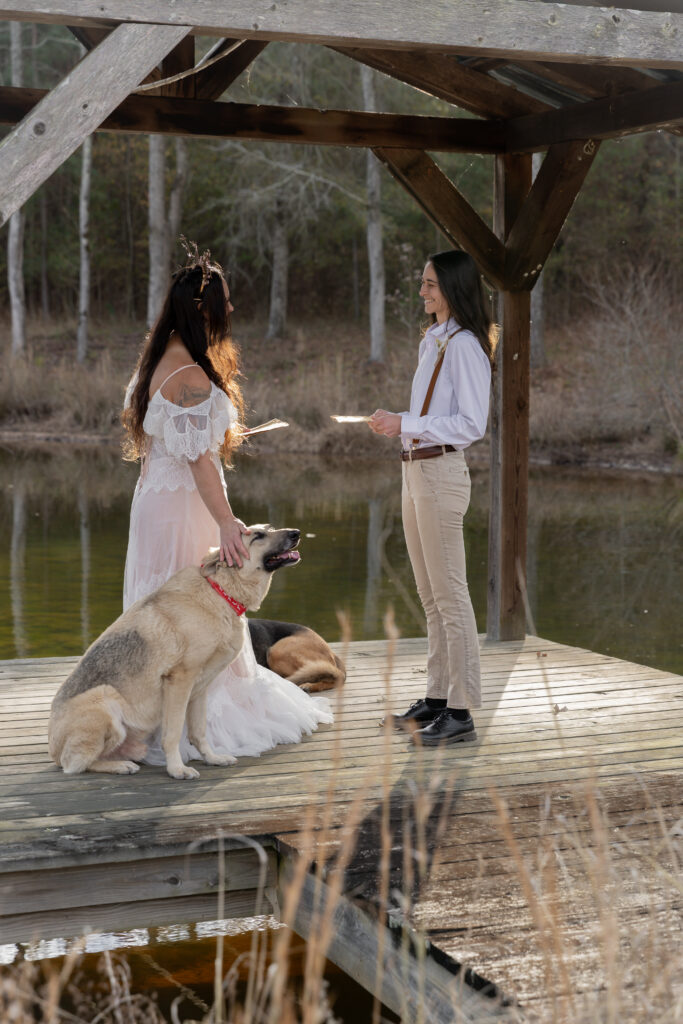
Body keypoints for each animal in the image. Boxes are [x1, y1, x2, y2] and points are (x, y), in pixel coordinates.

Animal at [48, 524, 301, 778]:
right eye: (258, 536)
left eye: (268, 529)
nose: (296, 533)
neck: (218, 592)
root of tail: (53, 749)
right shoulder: (179, 681)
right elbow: (173, 733)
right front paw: (177, 769)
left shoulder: (200, 688)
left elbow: (198, 731)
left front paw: (211, 758)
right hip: (104, 699)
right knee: (76, 765)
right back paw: (120, 766)